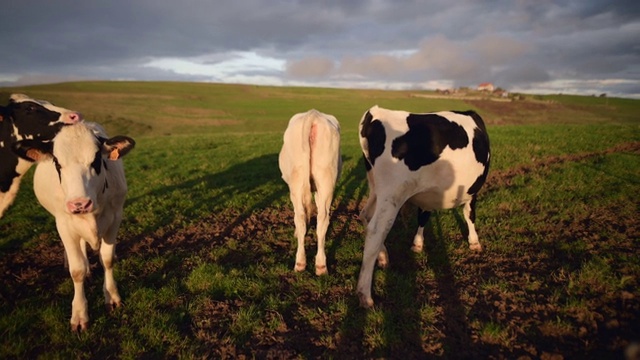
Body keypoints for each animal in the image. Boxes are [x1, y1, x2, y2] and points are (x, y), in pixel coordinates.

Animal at [13, 121, 135, 332]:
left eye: (96, 159)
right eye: (57, 163)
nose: (79, 204)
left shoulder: (115, 218)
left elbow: (107, 259)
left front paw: (112, 297)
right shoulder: (64, 224)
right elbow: (76, 270)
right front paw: (79, 314)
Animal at [278, 108, 342, 274]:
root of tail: (313, 115)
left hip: (296, 184)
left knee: (300, 217)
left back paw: (300, 262)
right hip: (326, 181)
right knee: (323, 218)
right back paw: (320, 265)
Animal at [358, 104, 488, 306]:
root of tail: (376, 111)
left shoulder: (427, 196)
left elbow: (424, 216)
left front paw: (417, 244)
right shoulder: (472, 192)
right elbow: (470, 214)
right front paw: (474, 242)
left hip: (375, 188)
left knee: (365, 215)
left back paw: (383, 256)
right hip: (392, 193)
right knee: (376, 230)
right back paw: (365, 295)